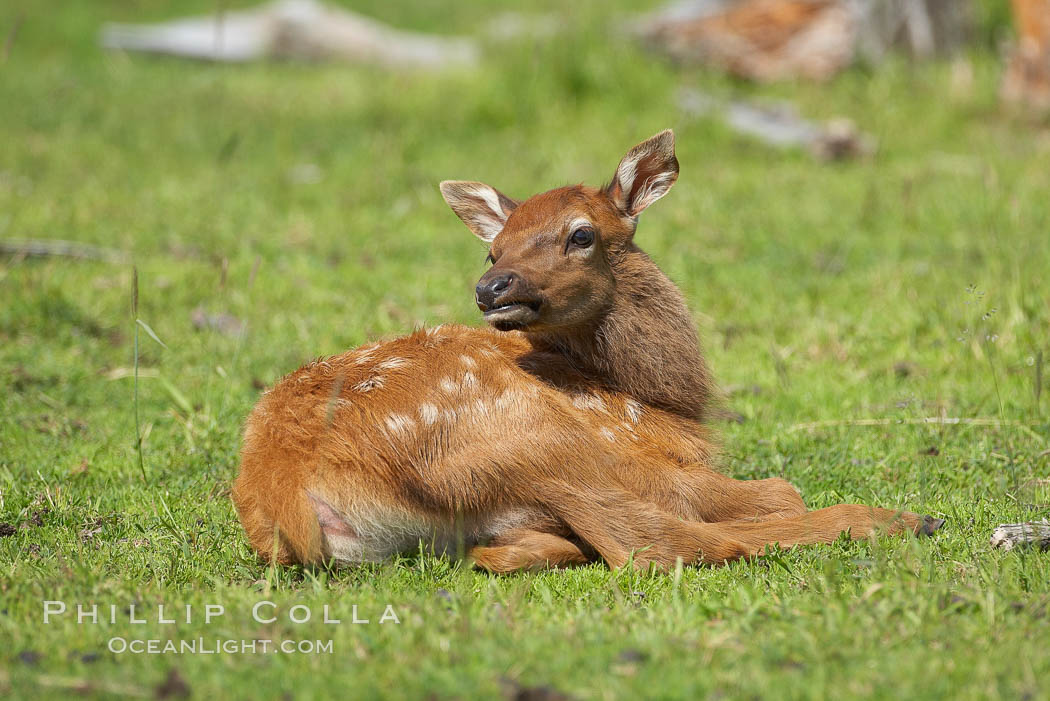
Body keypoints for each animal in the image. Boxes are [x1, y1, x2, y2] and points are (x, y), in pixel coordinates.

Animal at [234, 128, 949, 570]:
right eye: (493, 250)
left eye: (581, 234)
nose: (491, 287)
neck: (658, 400)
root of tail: (288, 495)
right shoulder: (638, 454)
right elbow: (780, 489)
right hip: (537, 439)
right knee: (652, 543)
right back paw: (902, 520)